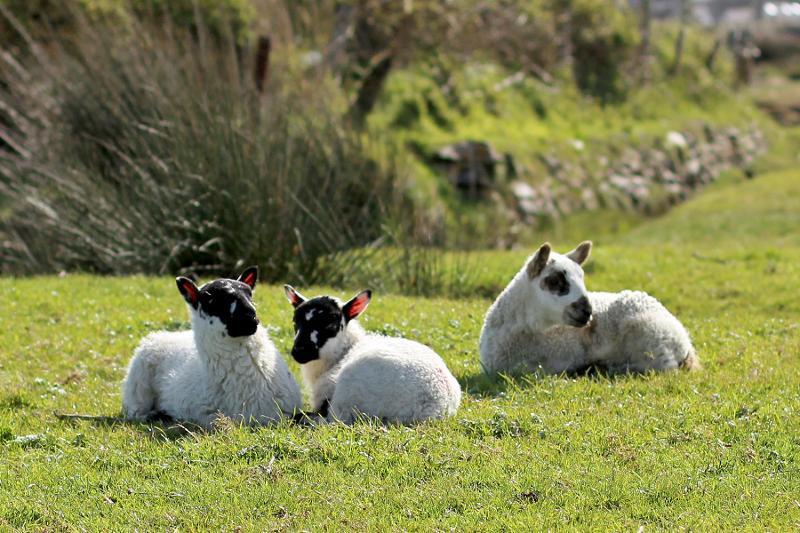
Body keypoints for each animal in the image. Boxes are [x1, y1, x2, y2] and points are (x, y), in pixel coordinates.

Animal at [122, 267, 302, 428]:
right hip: (138, 386)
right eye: (209, 299)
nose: (249, 316)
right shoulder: (204, 414)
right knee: (135, 412)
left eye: (249, 293)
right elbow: (221, 423)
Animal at [283, 286, 461, 424]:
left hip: (347, 396)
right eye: (295, 322)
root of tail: (431, 407)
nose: (299, 351)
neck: (344, 352)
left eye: (330, 323)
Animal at [479, 241, 700, 375]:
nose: (588, 312)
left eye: (582, 277)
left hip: (650, 336)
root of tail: (684, 340)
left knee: (664, 367)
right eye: (554, 281)